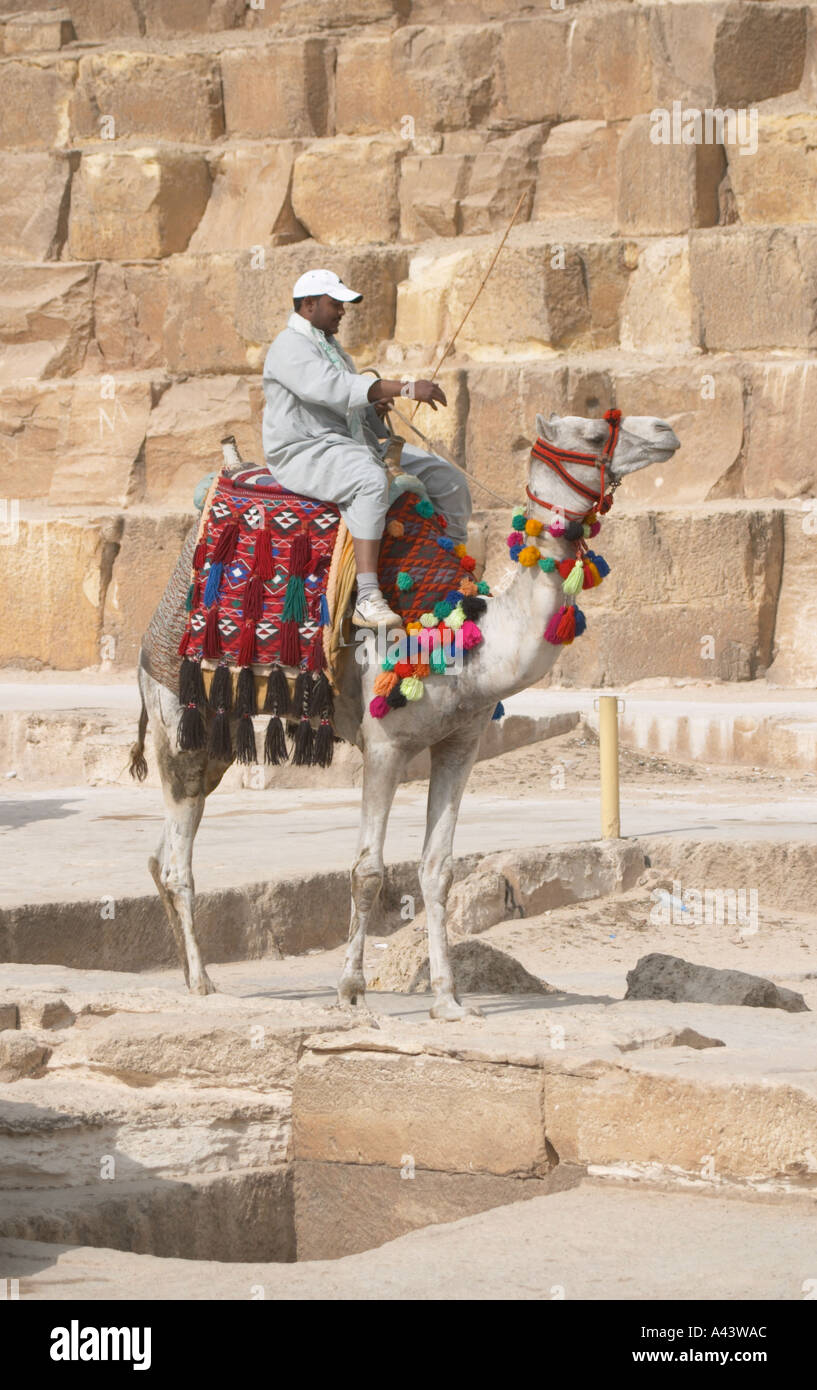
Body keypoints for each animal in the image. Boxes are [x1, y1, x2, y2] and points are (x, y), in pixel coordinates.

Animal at [131, 410, 680, 1018]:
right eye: (591, 432)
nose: (665, 430)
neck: (464, 637)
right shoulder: (384, 746)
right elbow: (367, 871)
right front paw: (351, 991)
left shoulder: (461, 744)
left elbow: (438, 870)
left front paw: (449, 999)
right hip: (178, 717)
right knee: (177, 860)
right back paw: (203, 983)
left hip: (216, 735)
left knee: (160, 852)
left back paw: (188, 974)